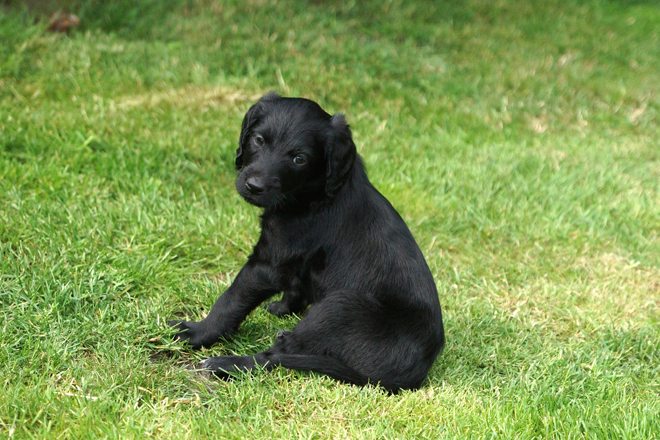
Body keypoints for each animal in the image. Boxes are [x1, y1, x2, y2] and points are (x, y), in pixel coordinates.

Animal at [173, 93, 446, 392]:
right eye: (259, 140)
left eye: (299, 159)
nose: (254, 186)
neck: (314, 194)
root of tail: (411, 376)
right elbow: (296, 286)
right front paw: (282, 308)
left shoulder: (270, 261)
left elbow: (231, 300)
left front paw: (198, 332)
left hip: (341, 306)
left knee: (276, 357)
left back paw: (225, 364)